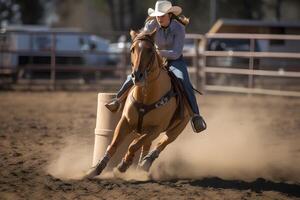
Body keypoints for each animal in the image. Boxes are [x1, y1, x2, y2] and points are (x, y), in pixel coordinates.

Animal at [85, 28, 192, 178]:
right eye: (132, 49)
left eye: (150, 50)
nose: (137, 75)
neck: (146, 96)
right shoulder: (125, 121)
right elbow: (114, 144)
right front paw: (96, 168)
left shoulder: (156, 129)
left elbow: (133, 144)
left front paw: (122, 165)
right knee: (146, 146)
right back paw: (140, 166)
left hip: (176, 130)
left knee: (161, 144)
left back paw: (145, 164)